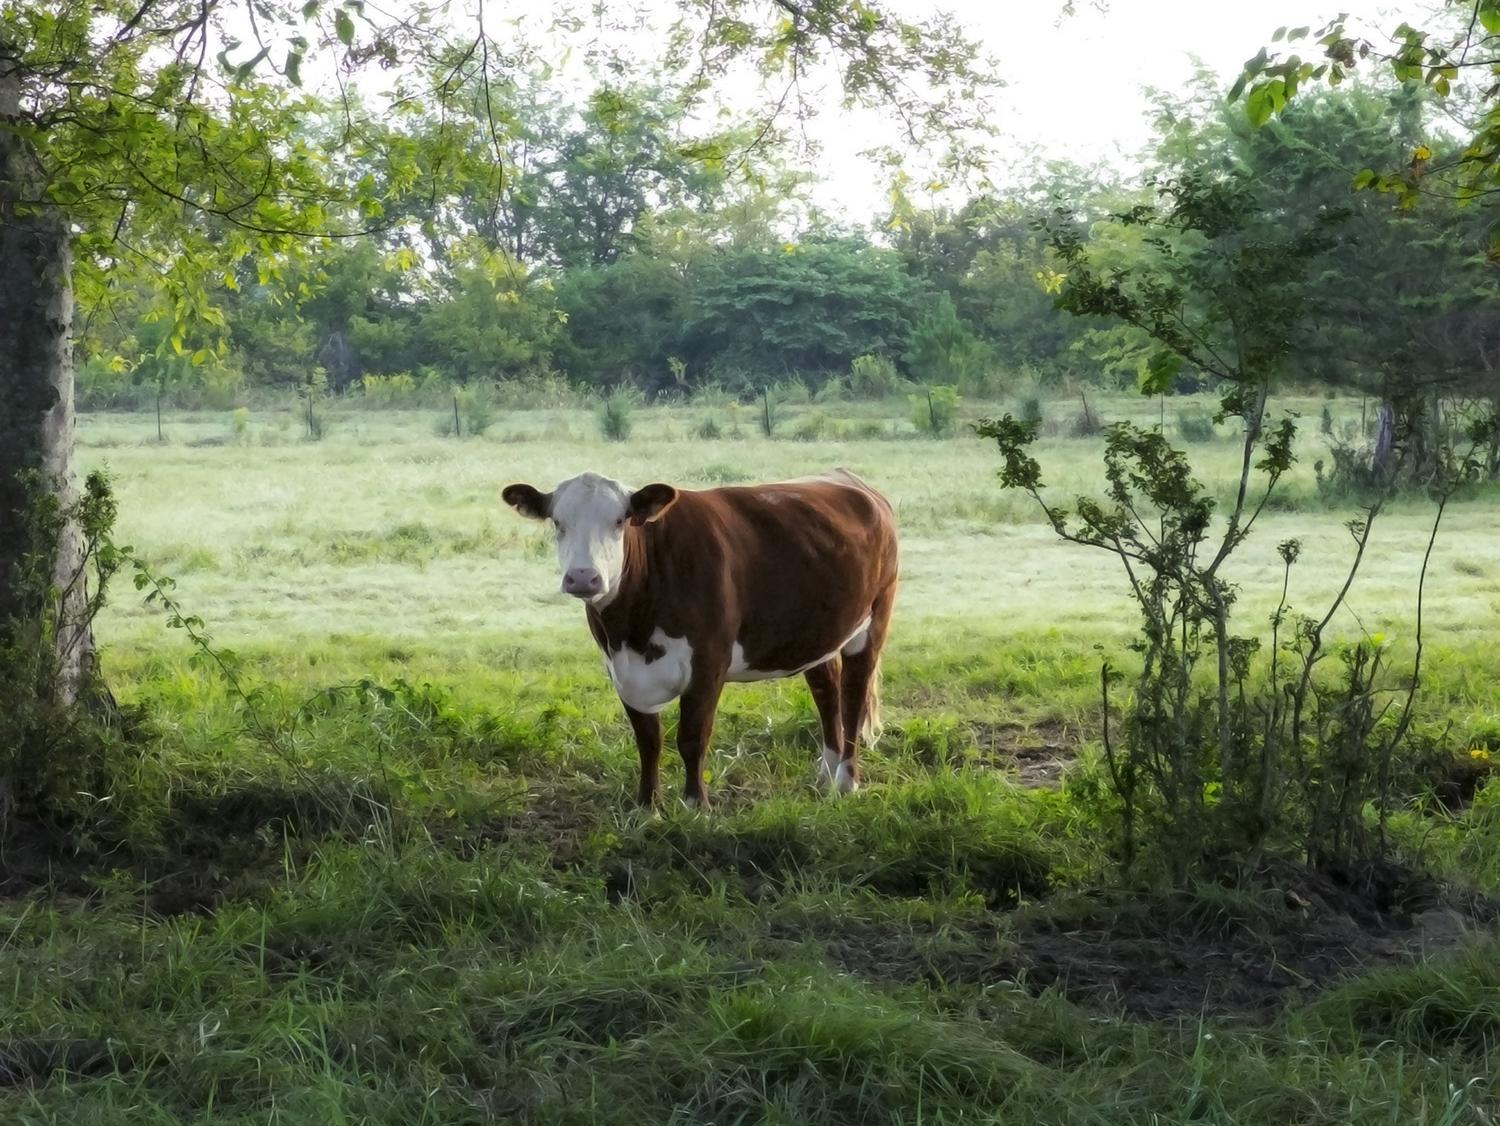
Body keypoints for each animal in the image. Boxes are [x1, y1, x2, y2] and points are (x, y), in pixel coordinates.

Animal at [504, 470, 900, 803]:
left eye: (620, 521)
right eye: (558, 522)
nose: (584, 578)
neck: (631, 630)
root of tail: (852, 480)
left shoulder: (708, 662)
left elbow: (692, 738)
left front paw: (696, 805)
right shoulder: (621, 671)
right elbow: (648, 742)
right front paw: (648, 806)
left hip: (873, 620)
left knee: (854, 697)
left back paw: (846, 781)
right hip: (816, 634)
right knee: (827, 693)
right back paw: (827, 775)